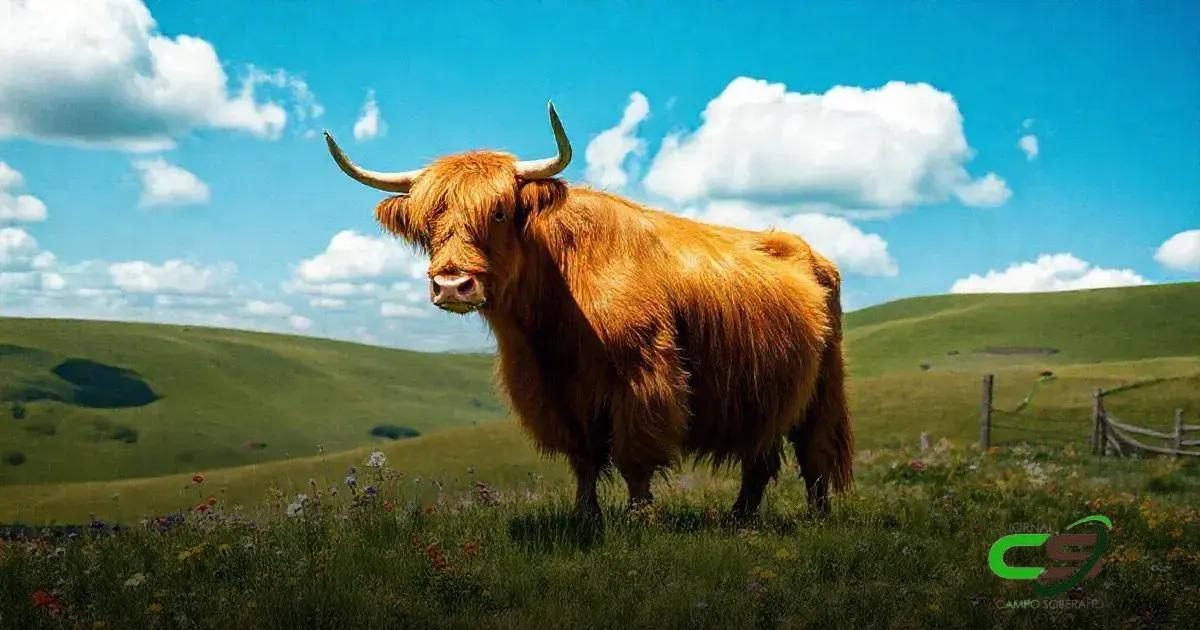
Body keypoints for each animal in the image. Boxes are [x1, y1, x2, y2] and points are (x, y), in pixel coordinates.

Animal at [324, 103, 851, 521]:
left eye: (498, 212)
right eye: (427, 222)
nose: (452, 283)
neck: (550, 326)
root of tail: (808, 252)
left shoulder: (644, 378)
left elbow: (635, 457)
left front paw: (640, 521)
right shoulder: (552, 395)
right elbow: (583, 458)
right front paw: (586, 517)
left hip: (823, 387)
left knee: (815, 453)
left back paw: (816, 518)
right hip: (764, 397)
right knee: (760, 458)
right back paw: (739, 518)